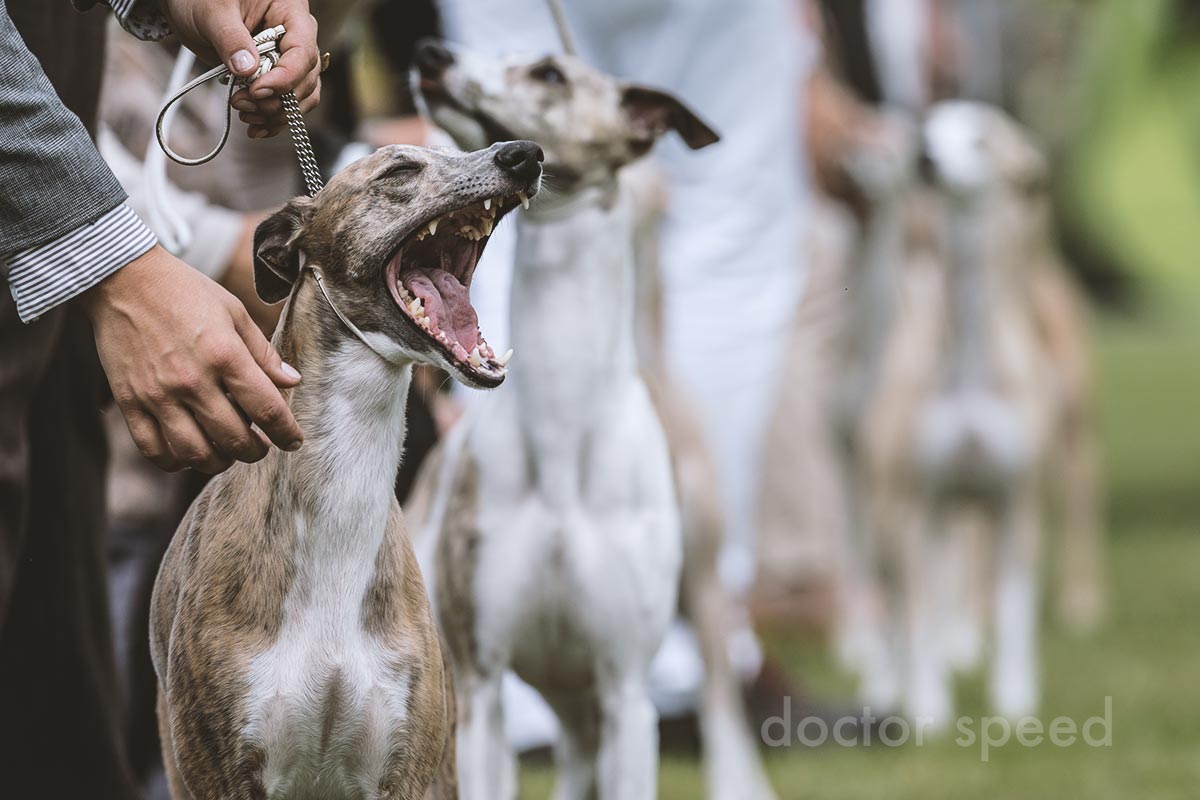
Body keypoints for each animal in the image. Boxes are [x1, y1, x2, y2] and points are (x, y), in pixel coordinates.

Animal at [408, 43, 753, 800]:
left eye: (549, 75)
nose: (431, 55)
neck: (562, 430)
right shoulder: (480, 685)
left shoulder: (626, 694)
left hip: (698, 593)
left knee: (720, 700)